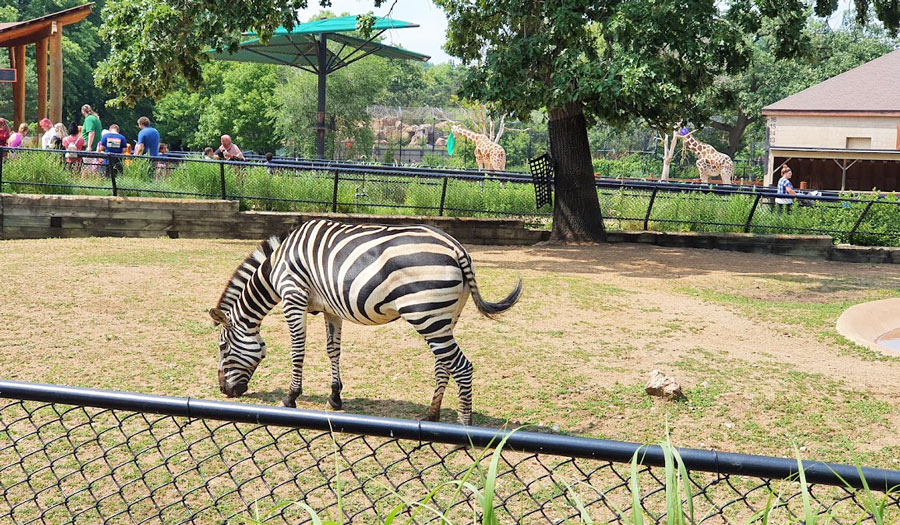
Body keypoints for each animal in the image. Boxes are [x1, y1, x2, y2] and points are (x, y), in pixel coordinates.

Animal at [208, 219, 522, 425]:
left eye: (223, 347)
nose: (224, 391)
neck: (277, 267)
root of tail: (457, 249)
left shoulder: (292, 297)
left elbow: (298, 350)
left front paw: (291, 396)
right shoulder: (330, 309)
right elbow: (333, 350)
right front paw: (335, 397)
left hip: (426, 314)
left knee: (462, 366)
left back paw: (464, 427)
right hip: (446, 317)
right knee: (443, 363)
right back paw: (432, 415)